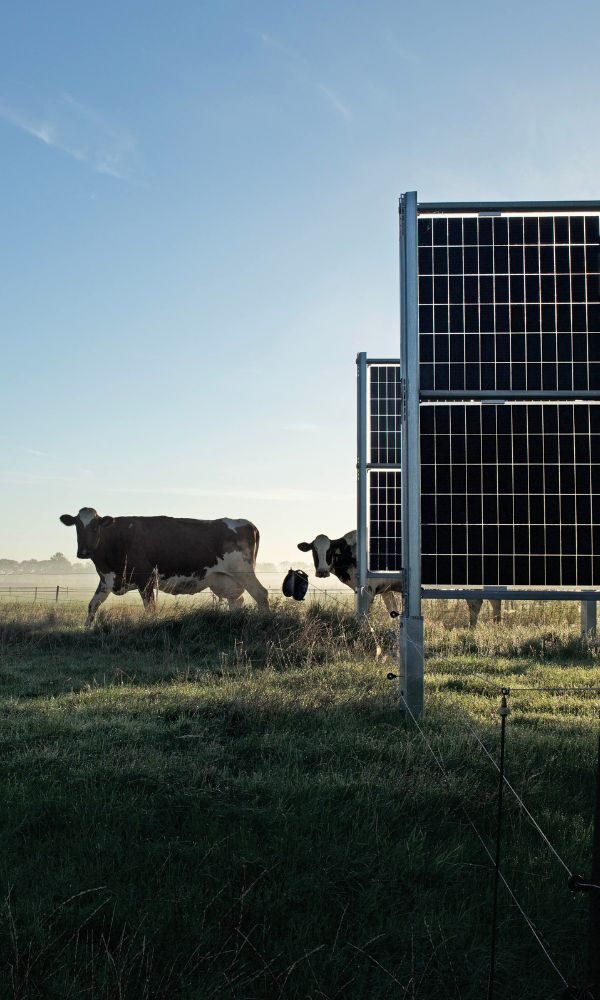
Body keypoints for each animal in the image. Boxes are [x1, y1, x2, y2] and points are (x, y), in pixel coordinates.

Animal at [60, 508, 268, 624]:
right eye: (77, 526)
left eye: (95, 526)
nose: (83, 551)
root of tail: (246, 523)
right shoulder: (107, 580)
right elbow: (92, 605)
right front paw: (87, 630)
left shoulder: (146, 580)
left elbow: (151, 609)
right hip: (225, 580)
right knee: (237, 602)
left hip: (243, 571)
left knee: (260, 593)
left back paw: (265, 620)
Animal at [298, 532, 502, 624]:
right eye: (314, 551)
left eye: (330, 550)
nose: (322, 571)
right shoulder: (385, 589)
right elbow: (393, 611)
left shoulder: (368, 590)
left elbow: (363, 615)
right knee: (477, 602)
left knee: (487, 601)